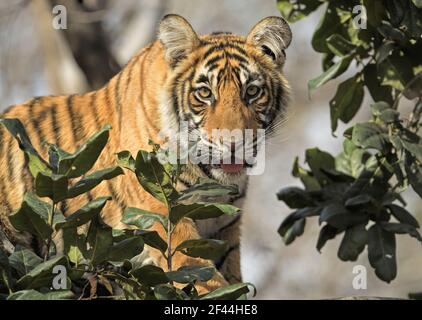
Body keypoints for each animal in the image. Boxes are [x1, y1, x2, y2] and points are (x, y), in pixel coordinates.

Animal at [0, 13, 290, 294]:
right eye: (205, 93)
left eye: (252, 91)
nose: (233, 142)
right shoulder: (166, 216)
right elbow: (207, 281)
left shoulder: (224, 231)